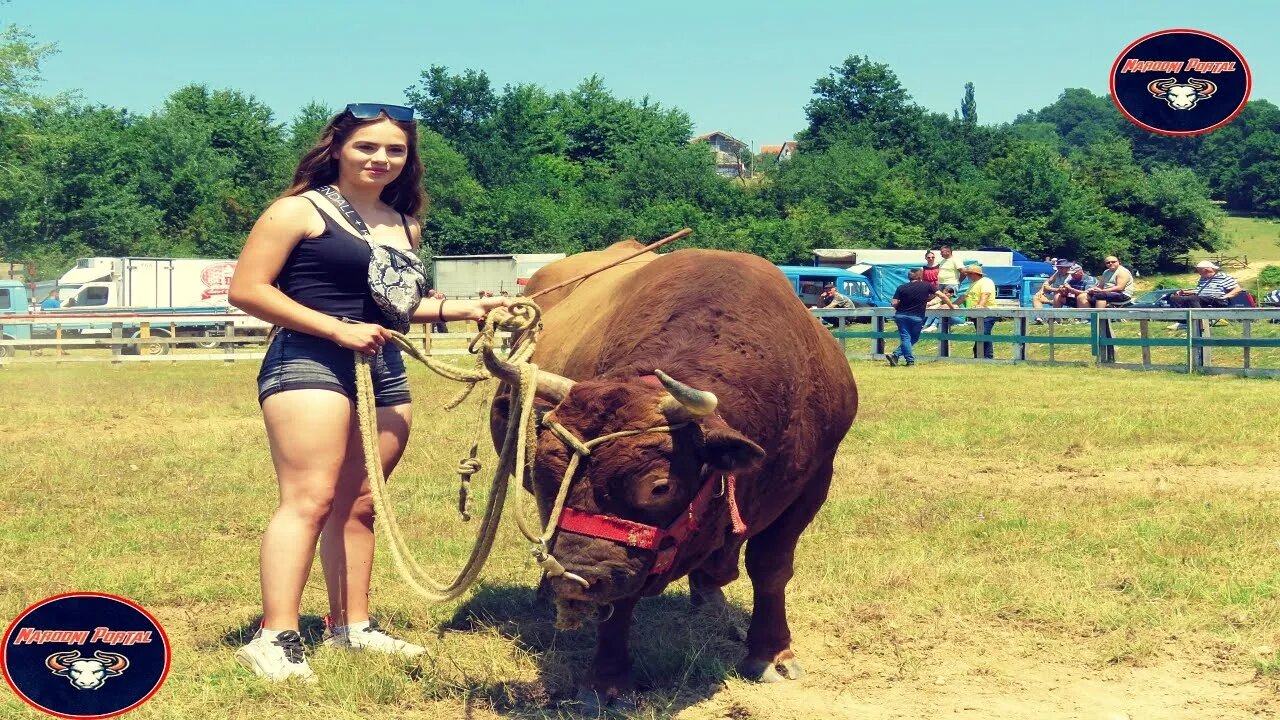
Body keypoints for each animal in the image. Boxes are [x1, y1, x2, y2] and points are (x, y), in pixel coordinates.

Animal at [488, 243, 860, 702]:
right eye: (542, 476)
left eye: (660, 487)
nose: (578, 577)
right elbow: (622, 601)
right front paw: (606, 680)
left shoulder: (813, 482)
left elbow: (771, 567)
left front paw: (771, 652)